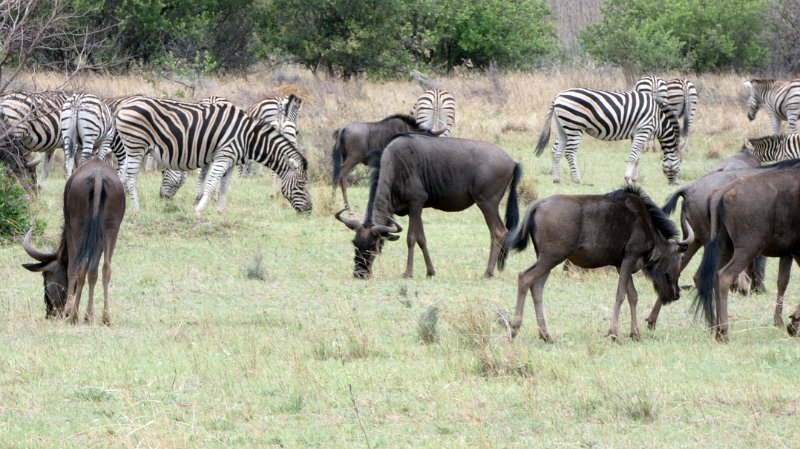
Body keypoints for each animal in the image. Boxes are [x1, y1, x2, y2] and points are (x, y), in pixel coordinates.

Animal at [114, 97, 312, 215]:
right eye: (301, 184)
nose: (310, 209)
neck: (248, 137)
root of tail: (124, 105)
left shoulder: (231, 162)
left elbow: (224, 187)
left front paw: (220, 212)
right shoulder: (224, 156)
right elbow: (210, 184)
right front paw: (199, 209)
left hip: (130, 149)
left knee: (122, 176)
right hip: (136, 147)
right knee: (130, 178)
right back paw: (136, 209)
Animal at [535, 88, 685, 185]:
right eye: (679, 164)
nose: (676, 183)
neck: (658, 119)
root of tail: (558, 96)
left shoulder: (637, 133)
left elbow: (637, 158)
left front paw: (634, 179)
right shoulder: (644, 130)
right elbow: (633, 156)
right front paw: (628, 179)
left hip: (563, 127)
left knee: (556, 151)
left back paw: (556, 178)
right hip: (575, 126)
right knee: (570, 152)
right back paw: (578, 179)